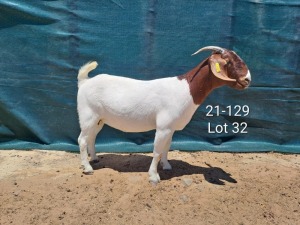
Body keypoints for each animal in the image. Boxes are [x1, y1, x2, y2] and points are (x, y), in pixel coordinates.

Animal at [77, 45, 251, 183]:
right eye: (228, 61)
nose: (247, 79)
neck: (186, 89)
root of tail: (84, 81)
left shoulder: (171, 128)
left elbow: (167, 147)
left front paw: (166, 165)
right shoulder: (163, 127)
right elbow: (157, 150)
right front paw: (153, 176)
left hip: (99, 119)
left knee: (91, 137)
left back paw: (94, 159)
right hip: (88, 115)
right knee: (82, 139)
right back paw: (87, 167)